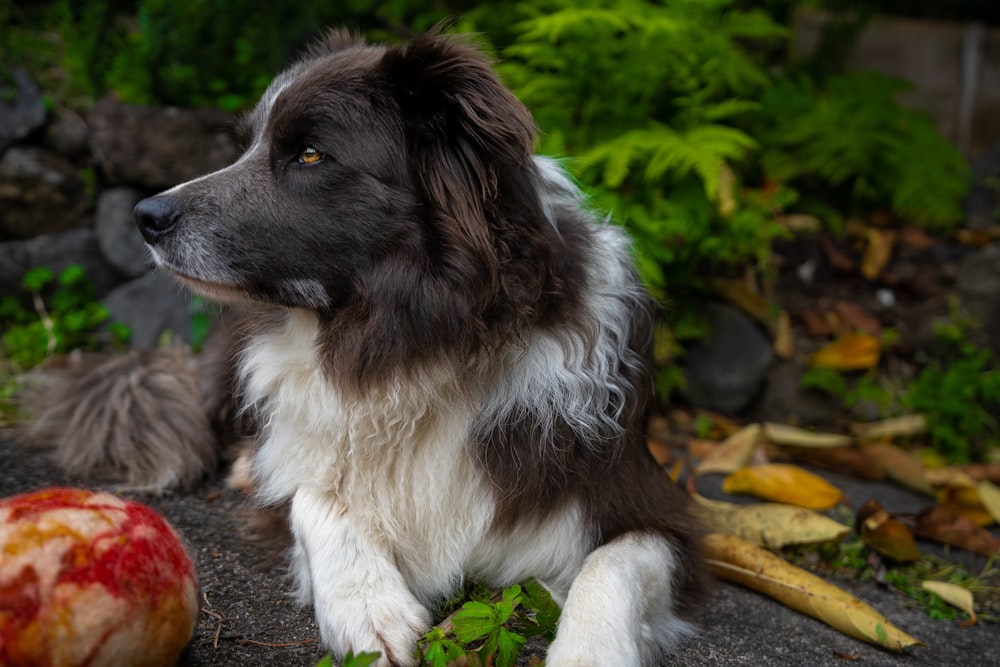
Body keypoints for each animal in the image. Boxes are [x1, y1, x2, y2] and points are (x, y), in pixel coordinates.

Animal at [129, 28, 704, 664]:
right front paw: (367, 607)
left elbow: (612, 564)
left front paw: (589, 650)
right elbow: (309, 495)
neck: (413, 343)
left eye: (310, 154)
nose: (145, 215)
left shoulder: (646, 501)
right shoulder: (296, 461)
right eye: (248, 145)